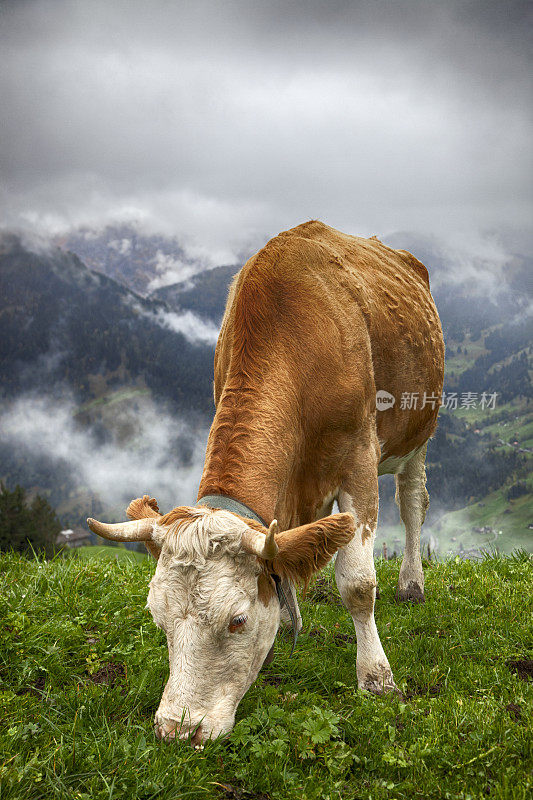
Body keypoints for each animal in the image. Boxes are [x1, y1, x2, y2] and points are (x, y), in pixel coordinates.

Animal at [88, 219, 444, 744]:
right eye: (157, 617)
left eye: (236, 620)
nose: (177, 730)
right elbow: (286, 554)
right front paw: (282, 630)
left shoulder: (358, 460)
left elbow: (358, 585)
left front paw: (377, 678)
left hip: (418, 433)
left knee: (412, 503)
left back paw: (411, 585)